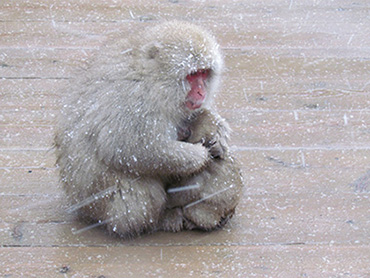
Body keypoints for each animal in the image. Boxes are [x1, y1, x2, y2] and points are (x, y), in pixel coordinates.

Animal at [54, 21, 243, 239]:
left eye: (203, 73)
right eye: (192, 75)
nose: (201, 91)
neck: (153, 79)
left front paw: (217, 132)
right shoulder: (136, 100)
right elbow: (130, 148)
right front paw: (200, 157)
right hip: (98, 204)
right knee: (133, 181)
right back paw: (156, 221)